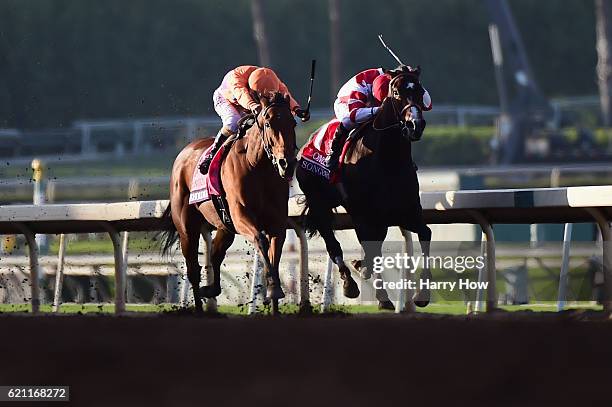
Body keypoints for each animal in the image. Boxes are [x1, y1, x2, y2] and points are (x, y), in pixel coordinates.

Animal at [161, 93, 298, 316]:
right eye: (268, 123)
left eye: (293, 122)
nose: (287, 163)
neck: (256, 165)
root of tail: (184, 152)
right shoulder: (241, 215)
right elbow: (260, 240)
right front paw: (273, 290)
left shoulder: (277, 223)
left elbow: (274, 255)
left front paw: (274, 296)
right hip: (187, 228)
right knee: (192, 268)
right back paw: (199, 308)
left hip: (225, 226)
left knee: (215, 255)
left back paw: (211, 289)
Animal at [296, 71, 430, 310]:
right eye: (397, 93)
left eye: (420, 90)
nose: (416, 124)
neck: (387, 159)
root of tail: (307, 143)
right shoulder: (362, 215)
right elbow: (372, 249)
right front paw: (383, 298)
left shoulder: (406, 211)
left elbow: (425, 234)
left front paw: (422, 295)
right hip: (320, 205)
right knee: (333, 245)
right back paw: (349, 283)